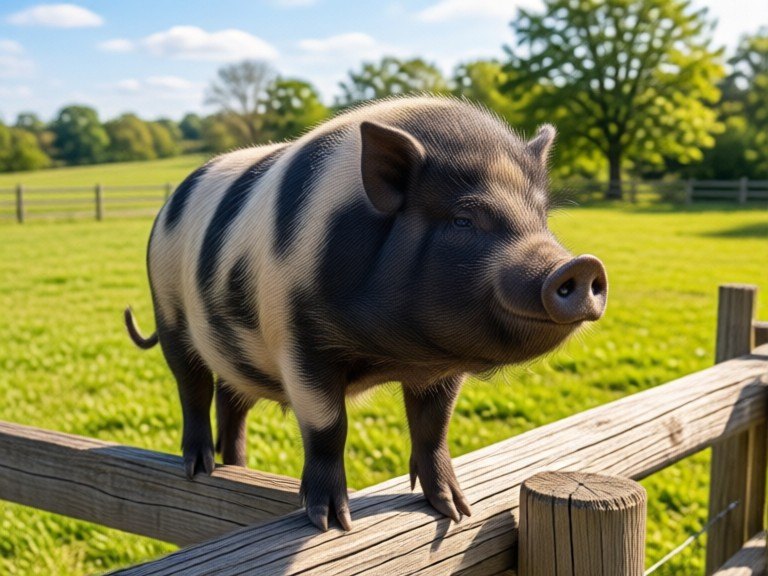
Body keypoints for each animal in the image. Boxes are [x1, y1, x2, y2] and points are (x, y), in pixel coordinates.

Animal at [125, 96, 607, 532]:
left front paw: (455, 509)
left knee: (232, 402)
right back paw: (199, 467)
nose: (580, 265)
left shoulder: (442, 366)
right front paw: (331, 522)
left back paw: (238, 469)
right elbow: (328, 426)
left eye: (541, 215)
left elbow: (434, 426)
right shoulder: (299, 341)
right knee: (193, 388)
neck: (395, 351)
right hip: (168, 311)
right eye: (463, 219)